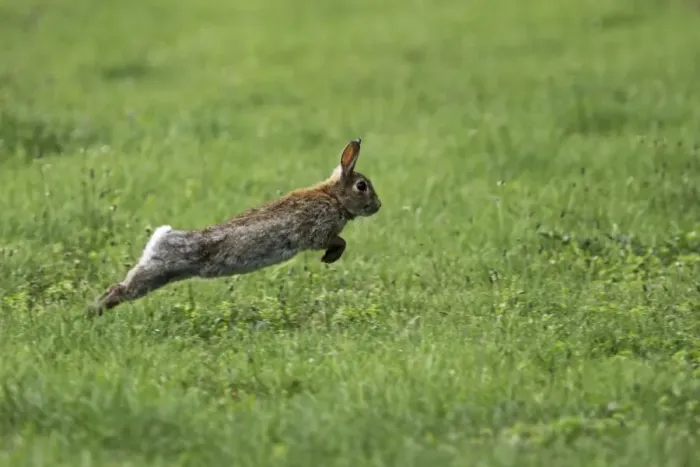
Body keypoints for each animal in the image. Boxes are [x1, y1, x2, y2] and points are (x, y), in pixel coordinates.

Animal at [88, 137, 381, 315]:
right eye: (361, 186)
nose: (378, 206)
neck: (333, 196)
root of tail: (162, 237)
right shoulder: (319, 230)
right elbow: (338, 241)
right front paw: (329, 258)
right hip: (159, 271)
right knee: (122, 290)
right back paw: (93, 313)